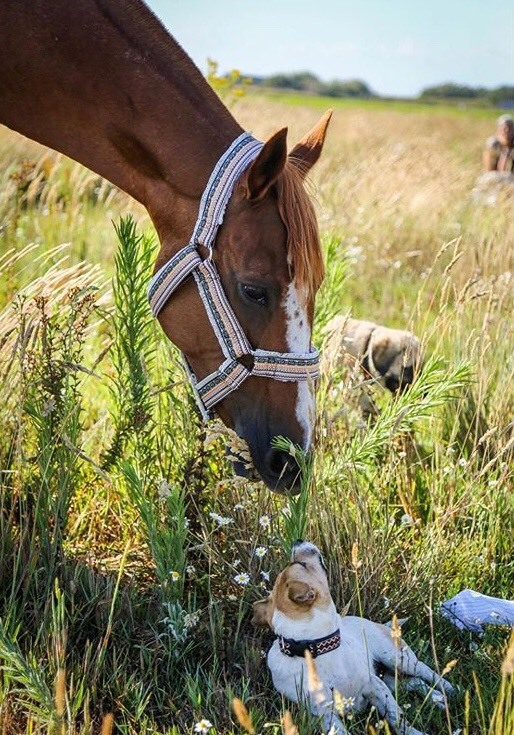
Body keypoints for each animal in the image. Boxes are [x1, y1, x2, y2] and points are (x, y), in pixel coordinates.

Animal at [252, 540, 452, 735]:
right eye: (302, 564)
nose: (298, 540)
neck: (316, 649)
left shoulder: (375, 685)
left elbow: (398, 718)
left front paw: (415, 732)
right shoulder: (325, 713)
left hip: (398, 659)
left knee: (428, 672)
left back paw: (448, 689)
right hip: (391, 676)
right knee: (413, 682)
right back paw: (437, 698)